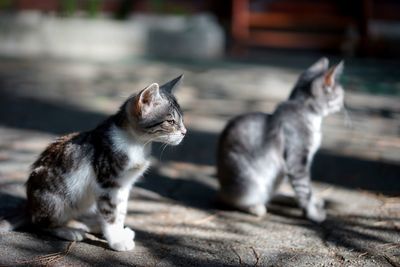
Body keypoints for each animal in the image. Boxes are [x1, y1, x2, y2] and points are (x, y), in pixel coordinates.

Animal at [0, 75, 188, 251]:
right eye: (170, 122)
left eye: (181, 120)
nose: (185, 132)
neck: (137, 143)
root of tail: (29, 206)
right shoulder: (108, 183)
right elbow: (110, 213)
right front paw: (116, 240)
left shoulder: (124, 185)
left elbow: (120, 211)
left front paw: (119, 232)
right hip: (57, 198)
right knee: (39, 223)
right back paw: (68, 231)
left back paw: (92, 225)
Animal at [217, 58, 346, 224]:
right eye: (341, 95)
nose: (343, 104)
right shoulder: (297, 161)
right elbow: (304, 189)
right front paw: (313, 214)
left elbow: (307, 189)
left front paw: (313, 202)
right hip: (251, 180)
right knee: (230, 198)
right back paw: (256, 207)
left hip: (278, 174)